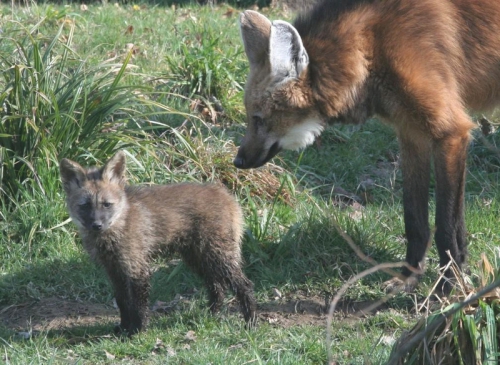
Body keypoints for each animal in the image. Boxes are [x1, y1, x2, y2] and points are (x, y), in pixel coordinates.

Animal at [60, 151, 256, 332]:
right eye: (85, 205)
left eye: (106, 204)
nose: (97, 225)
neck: (118, 225)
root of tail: (225, 194)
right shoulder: (114, 269)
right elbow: (122, 301)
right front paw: (123, 328)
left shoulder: (137, 268)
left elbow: (138, 306)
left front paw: (137, 331)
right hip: (199, 259)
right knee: (217, 287)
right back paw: (211, 316)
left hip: (217, 256)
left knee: (244, 285)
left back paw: (250, 322)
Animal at [233, 0, 500, 290]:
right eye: (250, 117)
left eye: (258, 119)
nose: (237, 161)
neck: (371, 46)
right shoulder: (412, 132)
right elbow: (414, 217)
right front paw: (408, 277)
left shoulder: (451, 132)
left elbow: (446, 226)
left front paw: (448, 286)